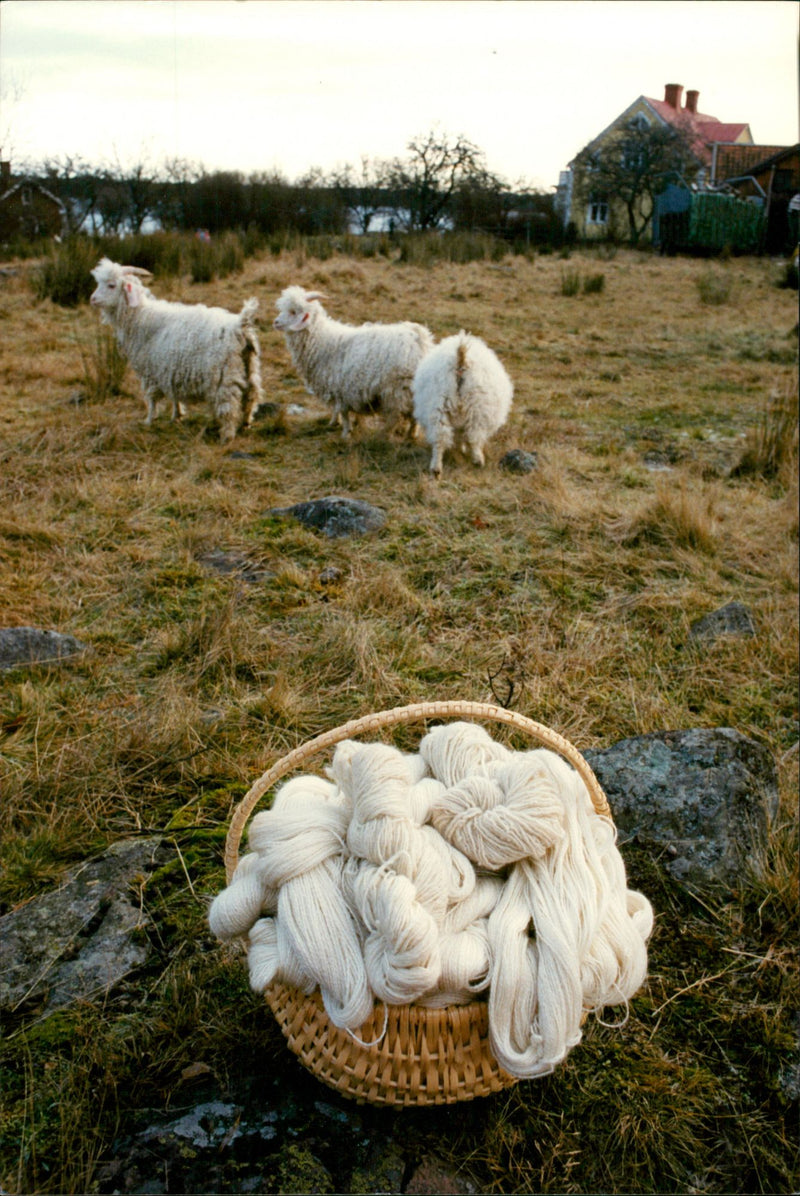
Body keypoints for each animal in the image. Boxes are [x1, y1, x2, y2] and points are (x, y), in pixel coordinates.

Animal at [89, 258, 265, 444]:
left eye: (111, 285)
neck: (141, 317)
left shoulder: (150, 373)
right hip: (250, 368)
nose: (92, 299)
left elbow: (152, 399)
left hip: (224, 377)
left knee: (229, 407)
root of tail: (239, 325)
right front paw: (177, 415)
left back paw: (226, 436)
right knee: (251, 398)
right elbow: (175, 396)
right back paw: (246, 424)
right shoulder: (171, 371)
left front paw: (149, 420)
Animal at [271, 284, 432, 440]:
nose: (276, 322)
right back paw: (411, 434)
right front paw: (334, 422)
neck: (322, 340)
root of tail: (419, 338)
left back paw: (384, 435)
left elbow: (343, 412)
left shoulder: (341, 387)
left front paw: (345, 433)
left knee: (395, 416)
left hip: (397, 389)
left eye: (293, 312)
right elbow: (336, 409)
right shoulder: (336, 388)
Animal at [411, 330, 511, 478]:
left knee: (439, 437)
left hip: (439, 404)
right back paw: (478, 460)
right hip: (477, 408)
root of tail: (461, 359)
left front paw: (460, 450)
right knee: (473, 436)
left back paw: (436, 468)